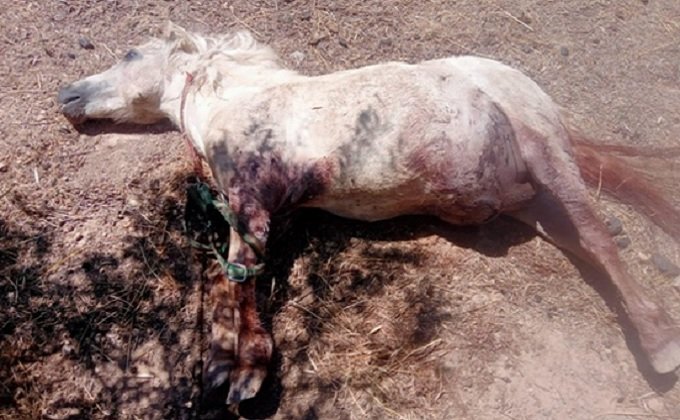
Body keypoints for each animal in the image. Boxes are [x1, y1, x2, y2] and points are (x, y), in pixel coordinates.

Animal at [58, 23, 680, 404]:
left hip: (548, 158)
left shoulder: (255, 204)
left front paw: (248, 372)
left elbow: (241, 279)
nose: (66, 95)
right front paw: (216, 364)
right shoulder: (258, 210)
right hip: (528, 202)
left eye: (131, 55)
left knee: (597, 241)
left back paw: (658, 343)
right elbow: (221, 279)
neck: (240, 102)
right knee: (580, 241)